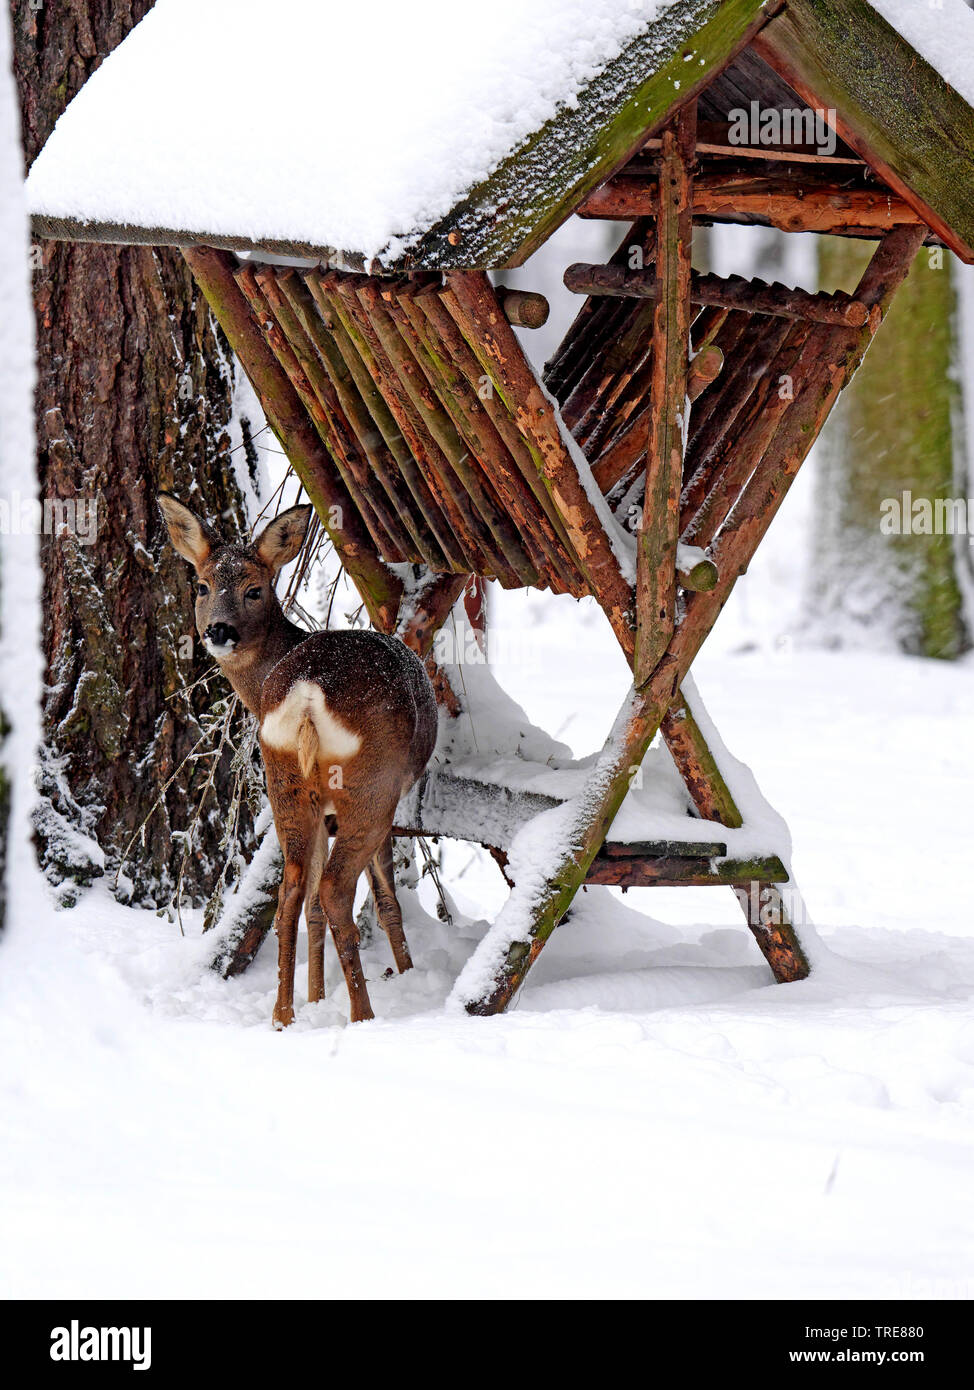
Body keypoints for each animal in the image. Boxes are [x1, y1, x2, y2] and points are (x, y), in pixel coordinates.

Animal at [158, 494, 436, 1028]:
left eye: (254, 589)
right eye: (202, 585)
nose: (218, 631)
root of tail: (307, 694)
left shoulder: (316, 806)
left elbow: (309, 907)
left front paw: (315, 998)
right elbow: (385, 898)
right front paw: (406, 973)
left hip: (283, 778)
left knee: (292, 893)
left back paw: (283, 1016)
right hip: (372, 785)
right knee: (334, 890)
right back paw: (363, 1016)